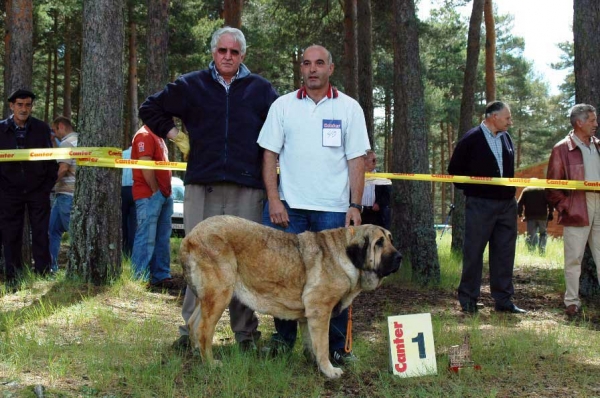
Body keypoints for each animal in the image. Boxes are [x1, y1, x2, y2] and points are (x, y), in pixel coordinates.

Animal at [179, 216, 404, 378]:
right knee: (204, 330)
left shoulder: (308, 317)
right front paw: (329, 370)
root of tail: (190, 236)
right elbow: (323, 344)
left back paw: (195, 353)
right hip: (220, 295)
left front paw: (314, 363)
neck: (346, 255)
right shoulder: (320, 311)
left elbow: (312, 343)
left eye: (391, 240)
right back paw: (210, 363)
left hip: (207, 298)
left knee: (192, 323)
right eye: (379, 243)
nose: (400, 257)